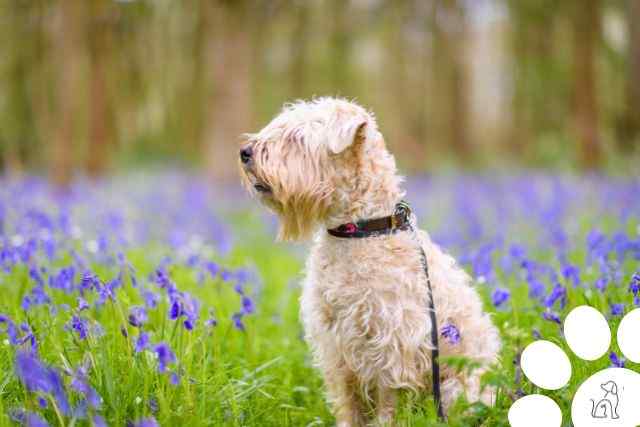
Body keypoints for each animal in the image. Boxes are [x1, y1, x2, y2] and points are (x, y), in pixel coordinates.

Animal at [239, 98, 500, 426]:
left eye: (297, 138)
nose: (245, 152)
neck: (359, 230)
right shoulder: (336, 343)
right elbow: (347, 401)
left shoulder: (392, 340)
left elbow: (388, 398)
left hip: (460, 389)